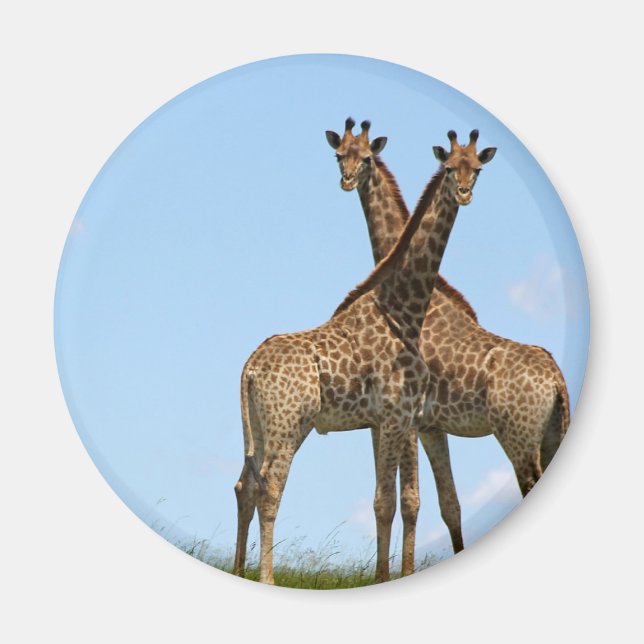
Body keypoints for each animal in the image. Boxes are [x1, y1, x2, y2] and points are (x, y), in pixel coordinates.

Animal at [233, 128, 496, 584]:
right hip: (288, 425)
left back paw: (238, 570)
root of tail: (249, 369)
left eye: (476, 169)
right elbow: (393, 500)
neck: (404, 307)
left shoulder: (389, 420)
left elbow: (390, 499)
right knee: (270, 486)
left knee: (245, 484)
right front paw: (387, 577)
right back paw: (266, 577)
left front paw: (384, 575)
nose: (464, 193)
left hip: (261, 429)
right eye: (449, 168)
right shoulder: (396, 416)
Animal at [326, 119, 570, 555]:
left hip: (519, 438)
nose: (348, 180)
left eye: (367, 157)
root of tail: (558, 381)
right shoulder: (429, 425)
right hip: (551, 435)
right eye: (340, 155)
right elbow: (447, 504)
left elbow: (407, 500)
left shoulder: (409, 420)